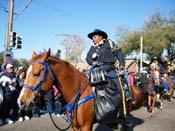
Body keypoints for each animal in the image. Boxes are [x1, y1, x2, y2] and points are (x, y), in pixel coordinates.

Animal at [17, 48, 147, 131]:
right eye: (26, 73)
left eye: (36, 74)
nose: (21, 101)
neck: (77, 93)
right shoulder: (74, 127)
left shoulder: (86, 126)